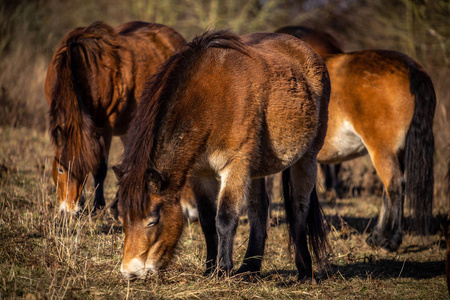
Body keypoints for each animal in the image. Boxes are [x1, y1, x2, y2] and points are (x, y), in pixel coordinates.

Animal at [112, 31, 330, 282]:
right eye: (123, 218)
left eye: (153, 218)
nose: (130, 272)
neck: (212, 98)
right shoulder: (201, 173)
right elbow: (207, 220)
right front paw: (209, 269)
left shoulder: (235, 166)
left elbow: (225, 218)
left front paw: (223, 269)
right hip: (256, 170)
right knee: (258, 210)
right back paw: (249, 268)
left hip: (307, 158)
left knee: (298, 207)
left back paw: (305, 270)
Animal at [278, 25, 436, 251]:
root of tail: (412, 67)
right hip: (399, 151)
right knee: (389, 190)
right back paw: (378, 236)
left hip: (382, 149)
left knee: (394, 185)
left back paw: (391, 239)